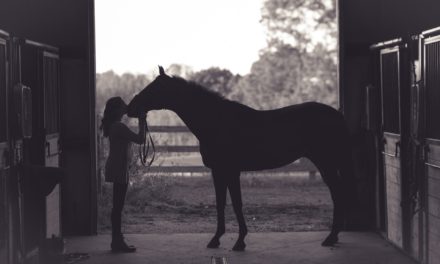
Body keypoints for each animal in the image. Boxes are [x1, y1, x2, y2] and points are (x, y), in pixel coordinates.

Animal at [126, 65, 354, 250]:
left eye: (154, 88)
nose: (130, 108)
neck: (217, 121)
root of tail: (337, 114)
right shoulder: (218, 172)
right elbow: (221, 203)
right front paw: (216, 239)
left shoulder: (230, 170)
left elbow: (236, 203)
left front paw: (239, 241)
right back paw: (333, 237)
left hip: (326, 163)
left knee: (338, 193)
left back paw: (330, 238)